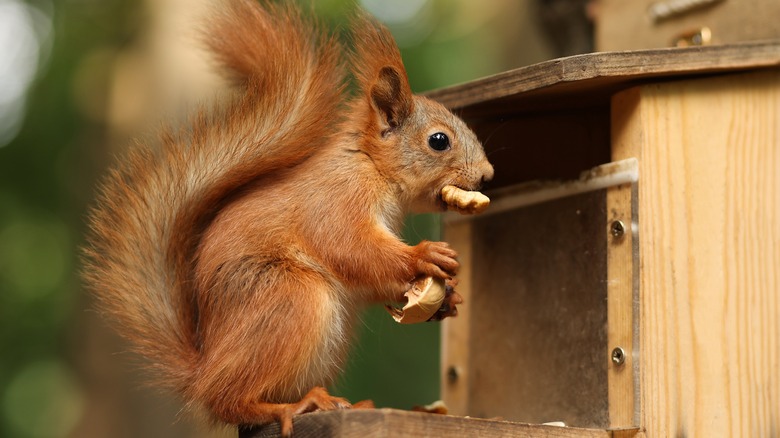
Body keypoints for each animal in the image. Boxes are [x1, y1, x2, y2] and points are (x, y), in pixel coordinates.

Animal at [80, 0, 494, 434]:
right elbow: (352, 249)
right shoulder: (336, 202)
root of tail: (203, 367)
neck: (371, 167)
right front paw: (423, 256)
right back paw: (292, 406)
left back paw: (348, 404)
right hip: (289, 299)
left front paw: (448, 299)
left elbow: (372, 280)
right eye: (439, 141)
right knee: (227, 399)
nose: (487, 175)